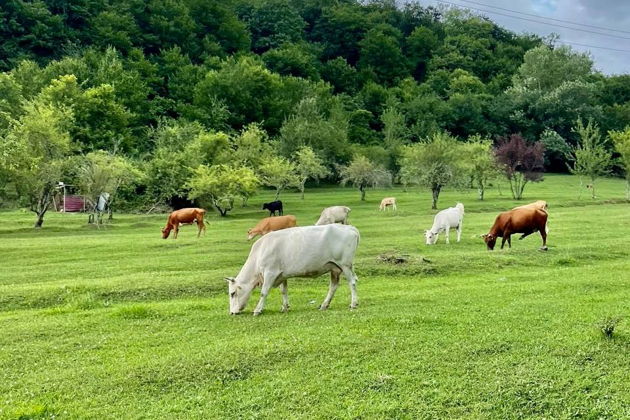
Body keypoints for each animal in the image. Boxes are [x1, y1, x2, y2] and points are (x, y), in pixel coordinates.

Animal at [226, 225, 360, 314]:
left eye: (232, 293)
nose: (232, 312)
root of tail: (350, 228)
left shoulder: (270, 272)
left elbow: (264, 292)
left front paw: (258, 310)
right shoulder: (281, 274)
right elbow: (284, 291)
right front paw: (285, 307)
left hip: (345, 264)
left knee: (352, 282)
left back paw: (353, 304)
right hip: (334, 268)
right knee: (333, 286)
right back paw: (324, 305)